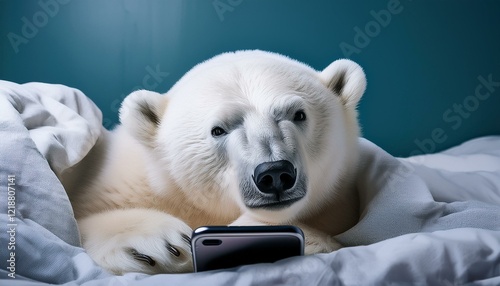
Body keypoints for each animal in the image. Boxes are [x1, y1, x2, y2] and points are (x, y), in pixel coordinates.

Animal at [63, 49, 368, 274]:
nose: (274, 173)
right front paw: (158, 244)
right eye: (218, 130)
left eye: (299, 114)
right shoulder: (121, 182)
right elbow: (77, 222)